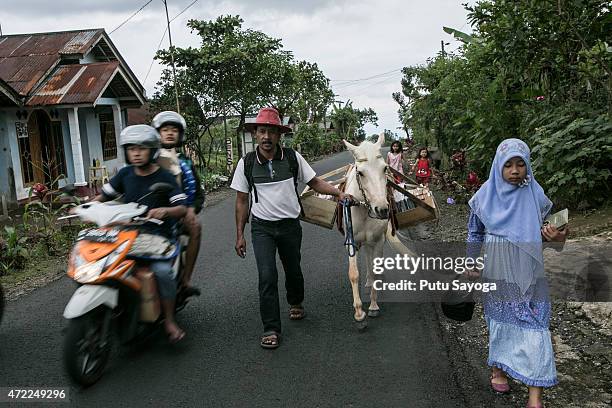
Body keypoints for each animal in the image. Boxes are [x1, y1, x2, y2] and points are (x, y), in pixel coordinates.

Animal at [342, 135, 414, 326]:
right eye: (360, 173)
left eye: (385, 168)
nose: (381, 210)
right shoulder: (352, 241)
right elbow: (353, 274)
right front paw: (359, 312)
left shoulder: (378, 240)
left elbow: (375, 268)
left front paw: (373, 306)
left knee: (373, 260)